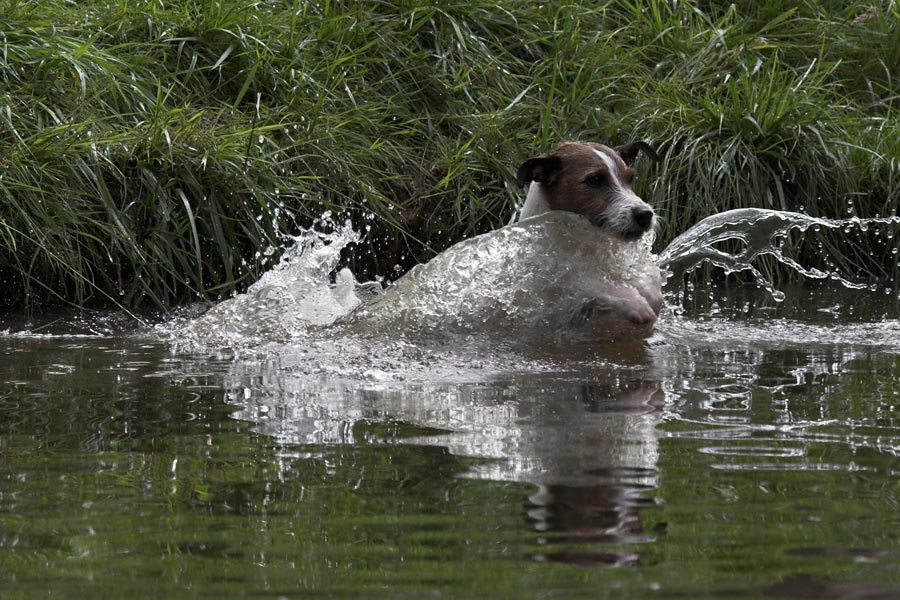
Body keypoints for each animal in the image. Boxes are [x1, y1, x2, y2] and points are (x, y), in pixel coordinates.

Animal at [512, 140, 660, 326]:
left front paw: (649, 290)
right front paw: (630, 299)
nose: (645, 215)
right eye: (595, 180)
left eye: (631, 178)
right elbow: (587, 283)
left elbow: (650, 274)